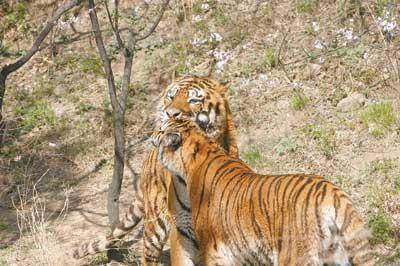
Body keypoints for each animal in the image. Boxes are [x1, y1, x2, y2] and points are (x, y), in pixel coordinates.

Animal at [73, 76, 239, 264]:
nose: (170, 113)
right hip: (155, 224)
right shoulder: (181, 226)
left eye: (193, 100)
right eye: (171, 97)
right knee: (148, 255)